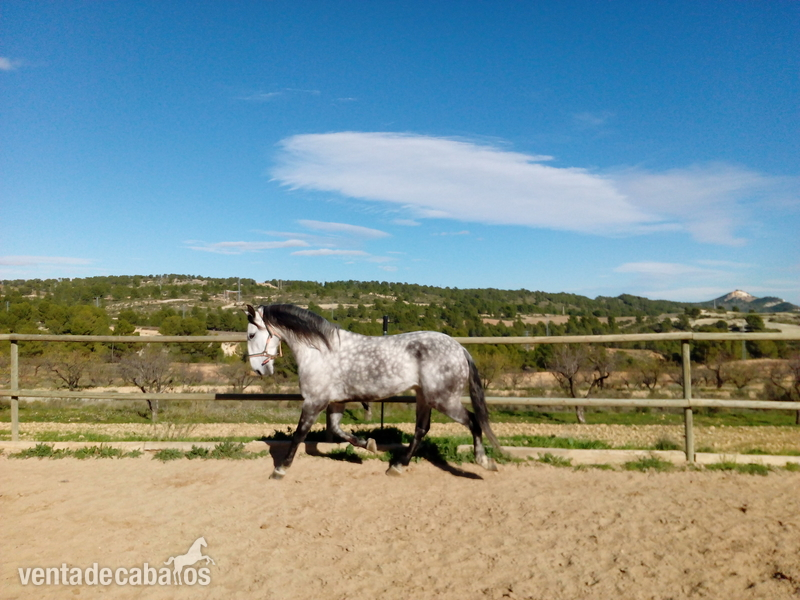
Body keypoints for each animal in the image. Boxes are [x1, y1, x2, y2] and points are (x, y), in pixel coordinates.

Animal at [245, 304, 501, 479]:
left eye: (251, 334)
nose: (259, 370)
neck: (319, 352)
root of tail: (460, 349)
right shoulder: (336, 402)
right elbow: (337, 430)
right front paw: (368, 444)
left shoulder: (314, 401)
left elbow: (299, 434)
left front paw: (280, 469)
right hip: (424, 397)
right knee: (421, 429)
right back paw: (397, 466)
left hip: (444, 399)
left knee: (473, 421)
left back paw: (484, 461)